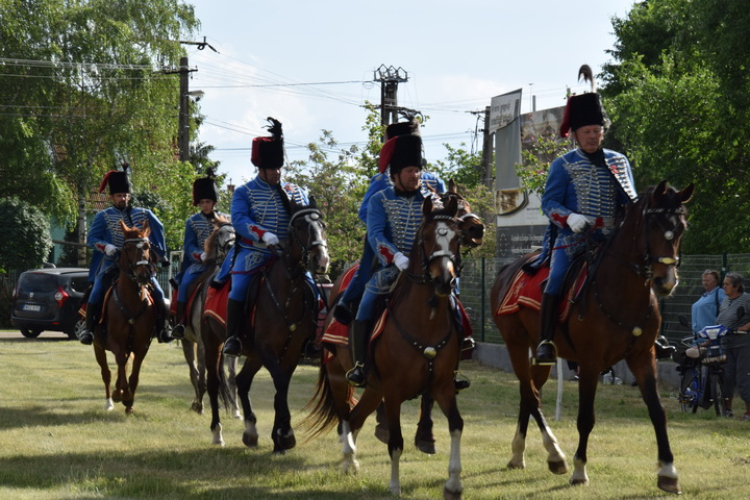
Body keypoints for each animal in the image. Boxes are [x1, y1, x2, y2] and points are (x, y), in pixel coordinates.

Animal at [93, 220, 159, 414]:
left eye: (147, 247)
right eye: (128, 248)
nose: (144, 275)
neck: (132, 300)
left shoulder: (142, 345)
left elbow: (134, 372)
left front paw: (130, 402)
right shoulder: (115, 341)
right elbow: (121, 362)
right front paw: (122, 394)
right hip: (97, 346)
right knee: (106, 372)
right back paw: (110, 400)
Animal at [176, 217, 241, 416]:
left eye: (236, 233)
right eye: (220, 233)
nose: (231, 247)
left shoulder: (229, 346)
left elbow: (232, 376)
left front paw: (236, 410)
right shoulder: (204, 343)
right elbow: (202, 374)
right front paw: (200, 405)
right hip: (187, 340)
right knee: (194, 372)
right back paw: (197, 402)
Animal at [203, 198, 328, 450]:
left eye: (323, 226)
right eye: (299, 226)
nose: (321, 261)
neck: (287, 295)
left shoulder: (291, 351)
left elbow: (282, 387)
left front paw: (279, 437)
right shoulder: (267, 349)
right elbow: (279, 382)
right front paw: (286, 433)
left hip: (253, 354)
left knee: (242, 381)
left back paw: (250, 431)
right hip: (213, 344)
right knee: (213, 383)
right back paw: (217, 433)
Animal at [308, 197, 468, 498]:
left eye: (457, 238)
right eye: (426, 237)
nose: (444, 280)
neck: (425, 321)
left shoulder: (442, 386)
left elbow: (456, 425)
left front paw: (453, 482)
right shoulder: (393, 392)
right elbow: (395, 440)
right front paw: (394, 485)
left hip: (374, 388)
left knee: (355, 418)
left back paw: (351, 462)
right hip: (339, 378)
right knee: (345, 418)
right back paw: (347, 458)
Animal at [490, 181, 696, 496]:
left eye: (682, 226)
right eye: (652, 223)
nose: (666, 281)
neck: (622, 291)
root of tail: (506, 270)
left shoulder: (643, 357)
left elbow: (658, 412)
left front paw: (669, 472)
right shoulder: (590, 362)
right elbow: (586, 417)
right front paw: (579, 470)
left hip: (542, 355)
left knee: (529, 394)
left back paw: (519, 454)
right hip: (515, 343)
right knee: (531, 394)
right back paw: (555, 455)